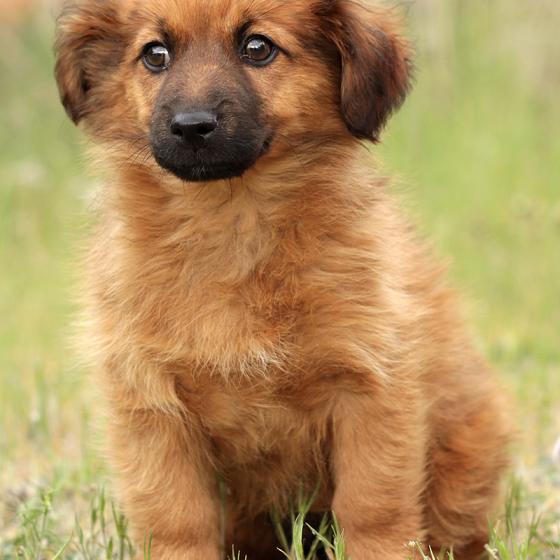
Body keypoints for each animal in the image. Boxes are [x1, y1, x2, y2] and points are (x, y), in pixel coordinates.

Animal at [55, 0, 512, 558]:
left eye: (258, 47)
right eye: (155, 54)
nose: (191, 126)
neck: (232, 223)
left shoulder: (372, 389)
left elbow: (373, 509)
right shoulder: (150, 408)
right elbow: (177, 521)